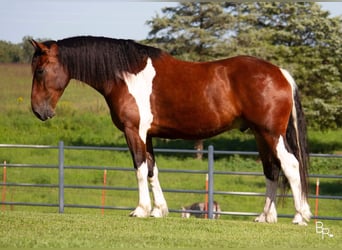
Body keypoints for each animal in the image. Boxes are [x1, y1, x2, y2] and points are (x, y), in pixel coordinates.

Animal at [30, 35, 312, 225]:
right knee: (271, 169)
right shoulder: (148, 135)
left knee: (290, 165)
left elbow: (140, 168)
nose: (38, 111)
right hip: (260, 135)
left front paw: (141, 209)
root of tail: (281, 73)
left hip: (271, 134)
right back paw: (265, 216)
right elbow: (152, 169)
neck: (126, 75)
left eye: (41, 69)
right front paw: (158, 210)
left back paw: (300, 216)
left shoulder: (134, 132)